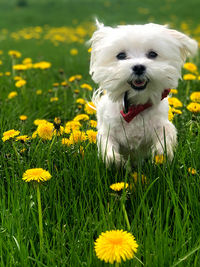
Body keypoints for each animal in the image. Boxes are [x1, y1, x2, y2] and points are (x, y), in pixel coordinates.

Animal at [89, 22, 198, 166]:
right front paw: (115, 161)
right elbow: (108, 146)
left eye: (152, 54)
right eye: (121, 56)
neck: (136, 106)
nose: (138, 67)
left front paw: (160, 154)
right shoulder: (107, 130)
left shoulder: (162, 125)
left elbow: (165, 137)